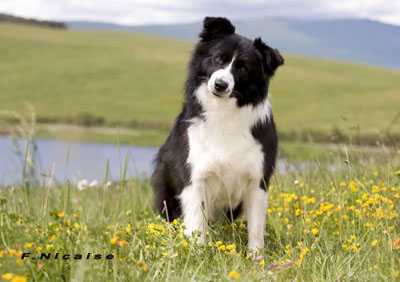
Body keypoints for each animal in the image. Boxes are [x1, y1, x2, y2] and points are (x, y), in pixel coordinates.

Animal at [152, 16, 282, 252]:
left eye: (243, 68)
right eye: (217, 58)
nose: (220, 84)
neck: (224, 113)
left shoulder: (258, 180)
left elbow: (256, 229)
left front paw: (256, 257)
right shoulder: (194, 177)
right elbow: (196, 224)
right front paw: (197, 253)